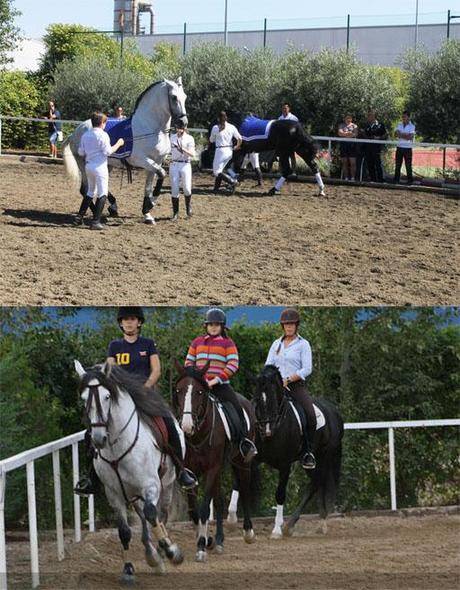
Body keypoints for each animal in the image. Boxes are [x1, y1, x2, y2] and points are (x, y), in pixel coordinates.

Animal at [172, 364, 258, 560]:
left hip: (241, 462)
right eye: (179, 391)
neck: (198, 436)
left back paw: (248, 532)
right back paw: (218, 541)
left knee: (245, 489)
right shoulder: (191, 472)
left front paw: (201, 547)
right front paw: (207, 540)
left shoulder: (212, 468)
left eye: (199, 392)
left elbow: (204, 508)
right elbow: (194, 510)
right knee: (218, 501)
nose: (186, 426)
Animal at [228, 364, 344, 540]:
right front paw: (231, 519)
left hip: (323, 457)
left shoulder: (285, 465)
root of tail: (333, 411)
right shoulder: (251, 458)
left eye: (274, 399)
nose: (266, 429)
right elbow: (239, 482)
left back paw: (294, 525)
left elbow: (280, 494)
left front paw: (276, 530)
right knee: (315, 484)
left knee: (316, 483)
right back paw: (307, 523)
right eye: (256, 398)